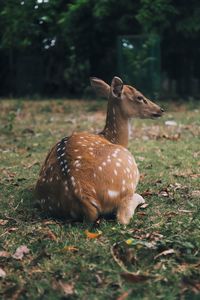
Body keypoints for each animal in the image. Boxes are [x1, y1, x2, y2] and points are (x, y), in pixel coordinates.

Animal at [35, 76, 164, 224]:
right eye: (139, 97)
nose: (161, 109)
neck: (109, 137)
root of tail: (82, 195)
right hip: (129, 167)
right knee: (122, 216)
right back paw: (139, 198)